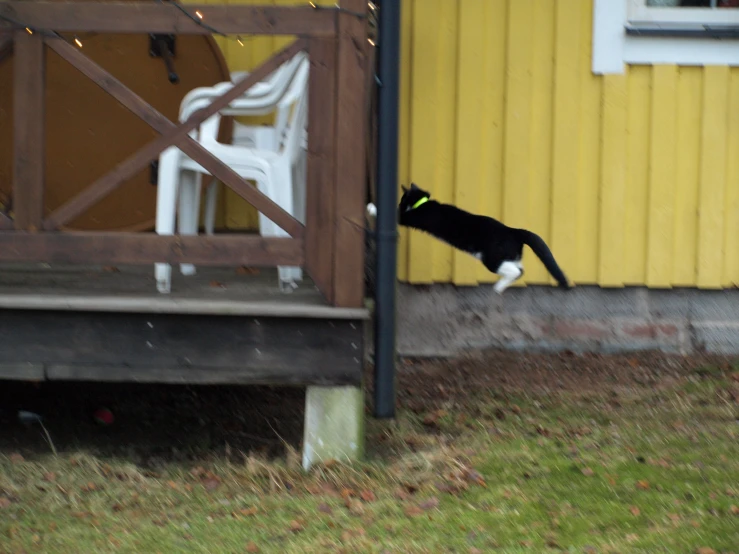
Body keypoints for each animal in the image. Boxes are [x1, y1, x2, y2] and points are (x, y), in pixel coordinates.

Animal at [368, 182, 572, 294]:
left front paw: (370, 207)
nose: (399, 204)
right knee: (521, 269)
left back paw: (498, 287)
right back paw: (502, 286)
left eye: (402, 199)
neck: (423, 203)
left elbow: (393, 216)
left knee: (515, 271)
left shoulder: (411, 218)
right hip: (509, 255)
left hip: (492, 258)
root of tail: (514, 230)